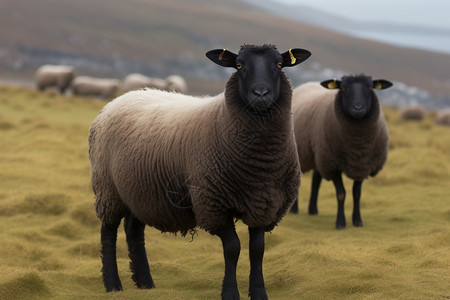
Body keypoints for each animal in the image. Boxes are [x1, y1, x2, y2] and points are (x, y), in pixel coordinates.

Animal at [89, 44, 312, 298]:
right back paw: (113, 284)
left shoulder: (263, 205)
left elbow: (258, 249)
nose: (261, 94)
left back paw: (145, 282)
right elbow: (233, 248)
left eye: (279, 65)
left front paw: (259, 293)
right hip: (108, 190)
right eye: (239, 66)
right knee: (108, 232)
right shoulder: (212, 203)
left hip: (141, 191)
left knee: (134, 230)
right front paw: (230, 293)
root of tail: (117, 101)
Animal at [290, 75, 392, 230]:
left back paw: (313, 210)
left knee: (316, 180)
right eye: (344, 88)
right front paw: (340, 223)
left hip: (320, 155)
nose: (358, 108)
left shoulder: (362, 164)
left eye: (369, 87)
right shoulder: (333, 165)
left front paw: (357, 221)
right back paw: (294, 210)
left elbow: (357, 193)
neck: (357, 144)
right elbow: (341, 194)